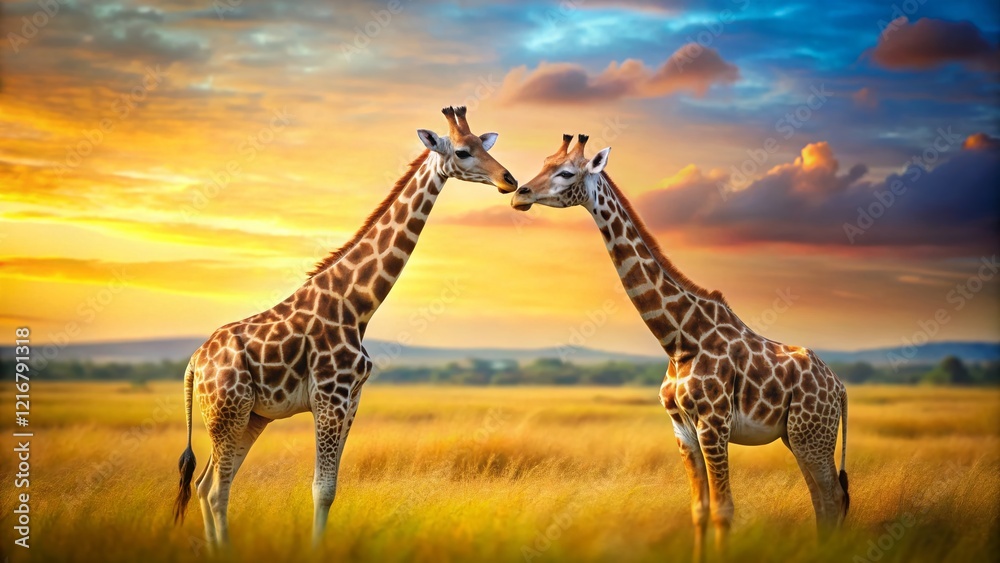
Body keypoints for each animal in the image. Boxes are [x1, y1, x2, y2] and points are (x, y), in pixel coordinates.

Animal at [172, 106, 518, 548]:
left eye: (482, 144)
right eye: (461, 151)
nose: (509, 180)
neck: (357, 306)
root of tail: (194, 364)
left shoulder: (352, 398)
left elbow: (332, 489)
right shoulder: (329, 396)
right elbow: (320, 488)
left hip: (250, 416)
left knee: (206, 484)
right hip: (226, 412)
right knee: (215, 488)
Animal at [511, 134, 849, 562]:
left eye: (566, 172)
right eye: (544, 163)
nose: (519, 194)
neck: (678, 340)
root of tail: (840, 387)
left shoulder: (713, 425)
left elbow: (723, 510)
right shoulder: (682, 430)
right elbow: (699, 510)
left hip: (813, 435)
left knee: (832, 499)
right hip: (799, 436)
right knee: (823, 500)